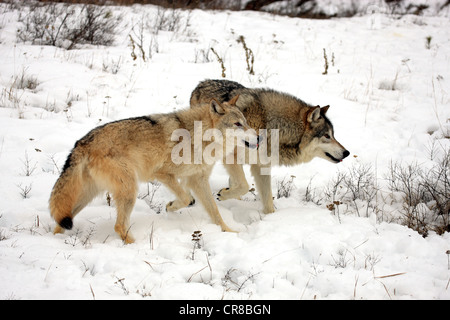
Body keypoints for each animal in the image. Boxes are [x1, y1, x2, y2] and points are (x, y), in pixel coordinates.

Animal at [48, 96, 256, 244]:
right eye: (237, 124)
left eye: (245, 122)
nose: (259, 137)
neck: (198, 135)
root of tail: (81, 142)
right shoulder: (163, 174)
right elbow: (186, 198)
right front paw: (172, 206)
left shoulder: (198, 180)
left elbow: (215, 211)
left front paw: (228, 232)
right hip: (129, 191)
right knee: (118, 226)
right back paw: (136, 246)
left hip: (87, 197)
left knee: (61, 220)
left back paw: (58, 240)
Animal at [190, 80, 352, 215]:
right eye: (326, 136)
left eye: (333, 135)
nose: (347, 153)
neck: (273, 126)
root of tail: (200, 84)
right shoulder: (231, 156)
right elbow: (244, 185)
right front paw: (223, 194)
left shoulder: (261, 166)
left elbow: (267, 201)